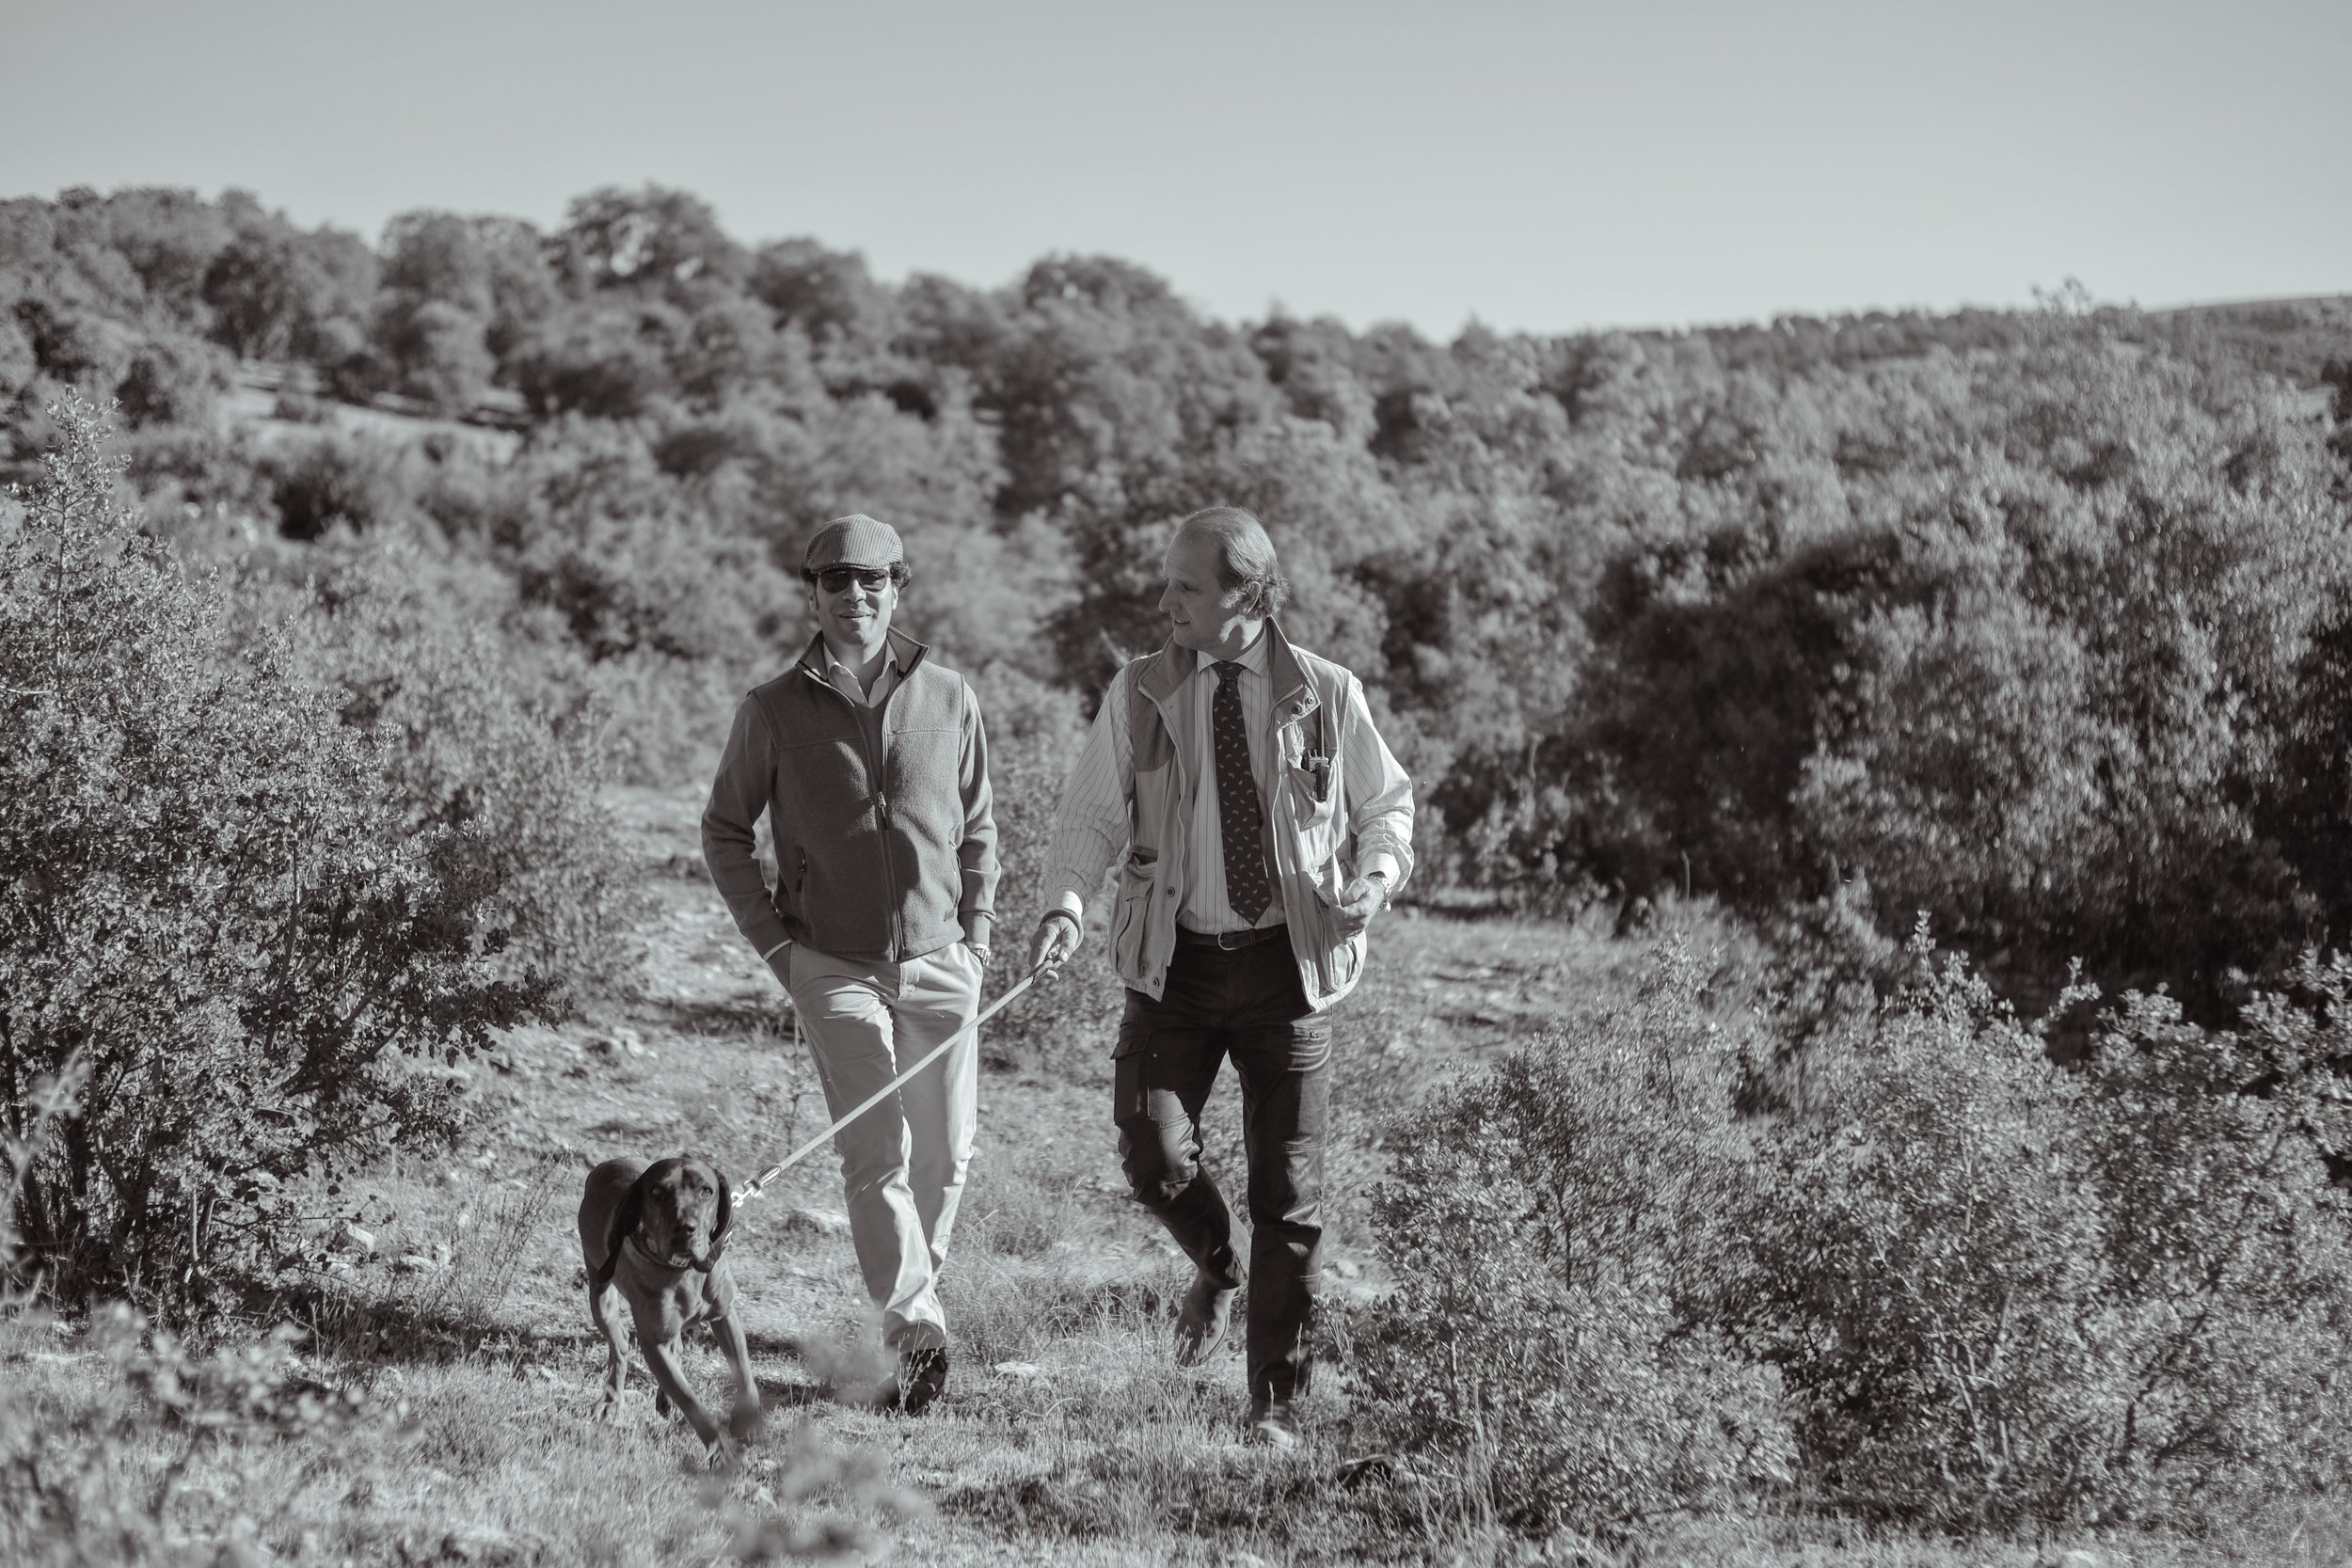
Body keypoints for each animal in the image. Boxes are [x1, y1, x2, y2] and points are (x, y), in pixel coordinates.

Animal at [574, 1151, 757, 1457]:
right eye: (657, 1193)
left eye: (706, 1191)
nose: (685, 1229)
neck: (683, 1271)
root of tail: (606, 1164)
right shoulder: (654, 1344)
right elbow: (691, 1401)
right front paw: (721, 1452)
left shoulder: (725, 1315)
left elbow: (743, 1371)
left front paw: (748, 1422)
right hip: (599, 1295)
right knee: (621, 1343)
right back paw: (611, 1400)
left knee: (673, 1347)